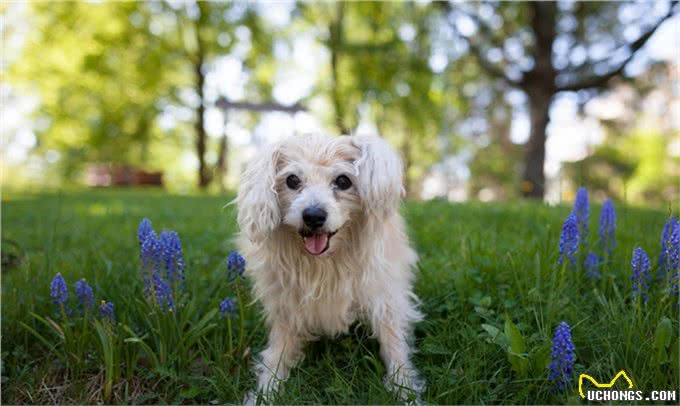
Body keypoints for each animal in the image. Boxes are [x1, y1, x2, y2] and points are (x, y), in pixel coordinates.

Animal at [236, 133, 422, 400]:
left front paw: (404, 389)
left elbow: (394, 343)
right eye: (292, 180)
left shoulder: (384, 296)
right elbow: (277, 355)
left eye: (343, 181)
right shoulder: (287, 308)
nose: (313, 216)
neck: (324, 265)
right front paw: (266, 392)